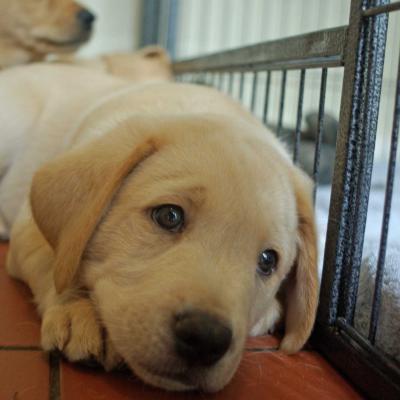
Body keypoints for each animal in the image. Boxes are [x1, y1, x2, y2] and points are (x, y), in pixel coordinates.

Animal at [0, 64, 318, 392]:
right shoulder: (28, 228)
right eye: (169, 216)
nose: (205, 338)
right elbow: (55, 260)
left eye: (268, 261)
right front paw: (79, 309)